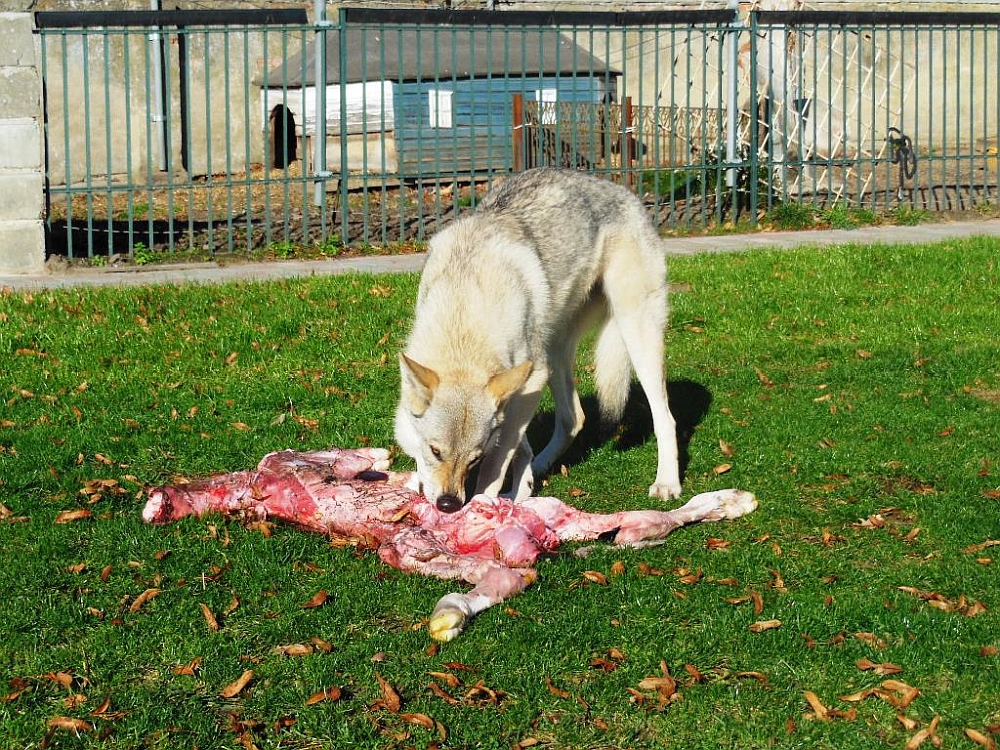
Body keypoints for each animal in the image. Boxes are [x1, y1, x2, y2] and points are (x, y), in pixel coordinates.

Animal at [394, 167, 684, 516]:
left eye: (474, 458)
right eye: (435, 451)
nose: (449, 505)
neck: (466, 304)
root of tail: (627, 193)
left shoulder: (531, 377)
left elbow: (498, 458)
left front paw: (486, 499)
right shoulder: (519, 388)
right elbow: (515, 443)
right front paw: (523, 484)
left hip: (635, 334)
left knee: (665, 417)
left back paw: (667, 482)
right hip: (555, 351)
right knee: (574, 418)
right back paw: (542, 465)